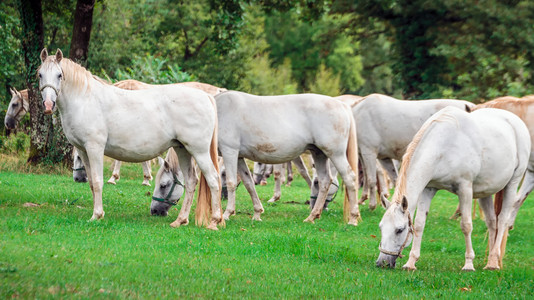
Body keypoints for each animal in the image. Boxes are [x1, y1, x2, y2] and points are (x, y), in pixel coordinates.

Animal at [37, 48, 222, 230]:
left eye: (59, 75)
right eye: (40, 74)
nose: (48, 105)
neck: (85, 99)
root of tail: (206, 97)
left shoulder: (94, 148)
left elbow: (97, 181)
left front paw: (96, 215)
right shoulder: (84, 150)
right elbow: (91, 183)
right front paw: (99, 212)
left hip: (199, 152)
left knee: (214, 179)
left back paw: (214, 221)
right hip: (182, 150)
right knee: (191, 182)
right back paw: (180, 220)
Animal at [376, 106, 532, 270]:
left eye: (399, 230)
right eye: (381, 227)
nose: (382, 263)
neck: (444, 145)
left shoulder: (465, 188)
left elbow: (466, 225)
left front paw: (468, 264)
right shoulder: (428, 189)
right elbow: (419, 224)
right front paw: (411, 263)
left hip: (512, 184)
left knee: (502, 221)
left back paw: (494, 262)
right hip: (485, 193)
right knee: (491, 222)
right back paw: (490, 261)